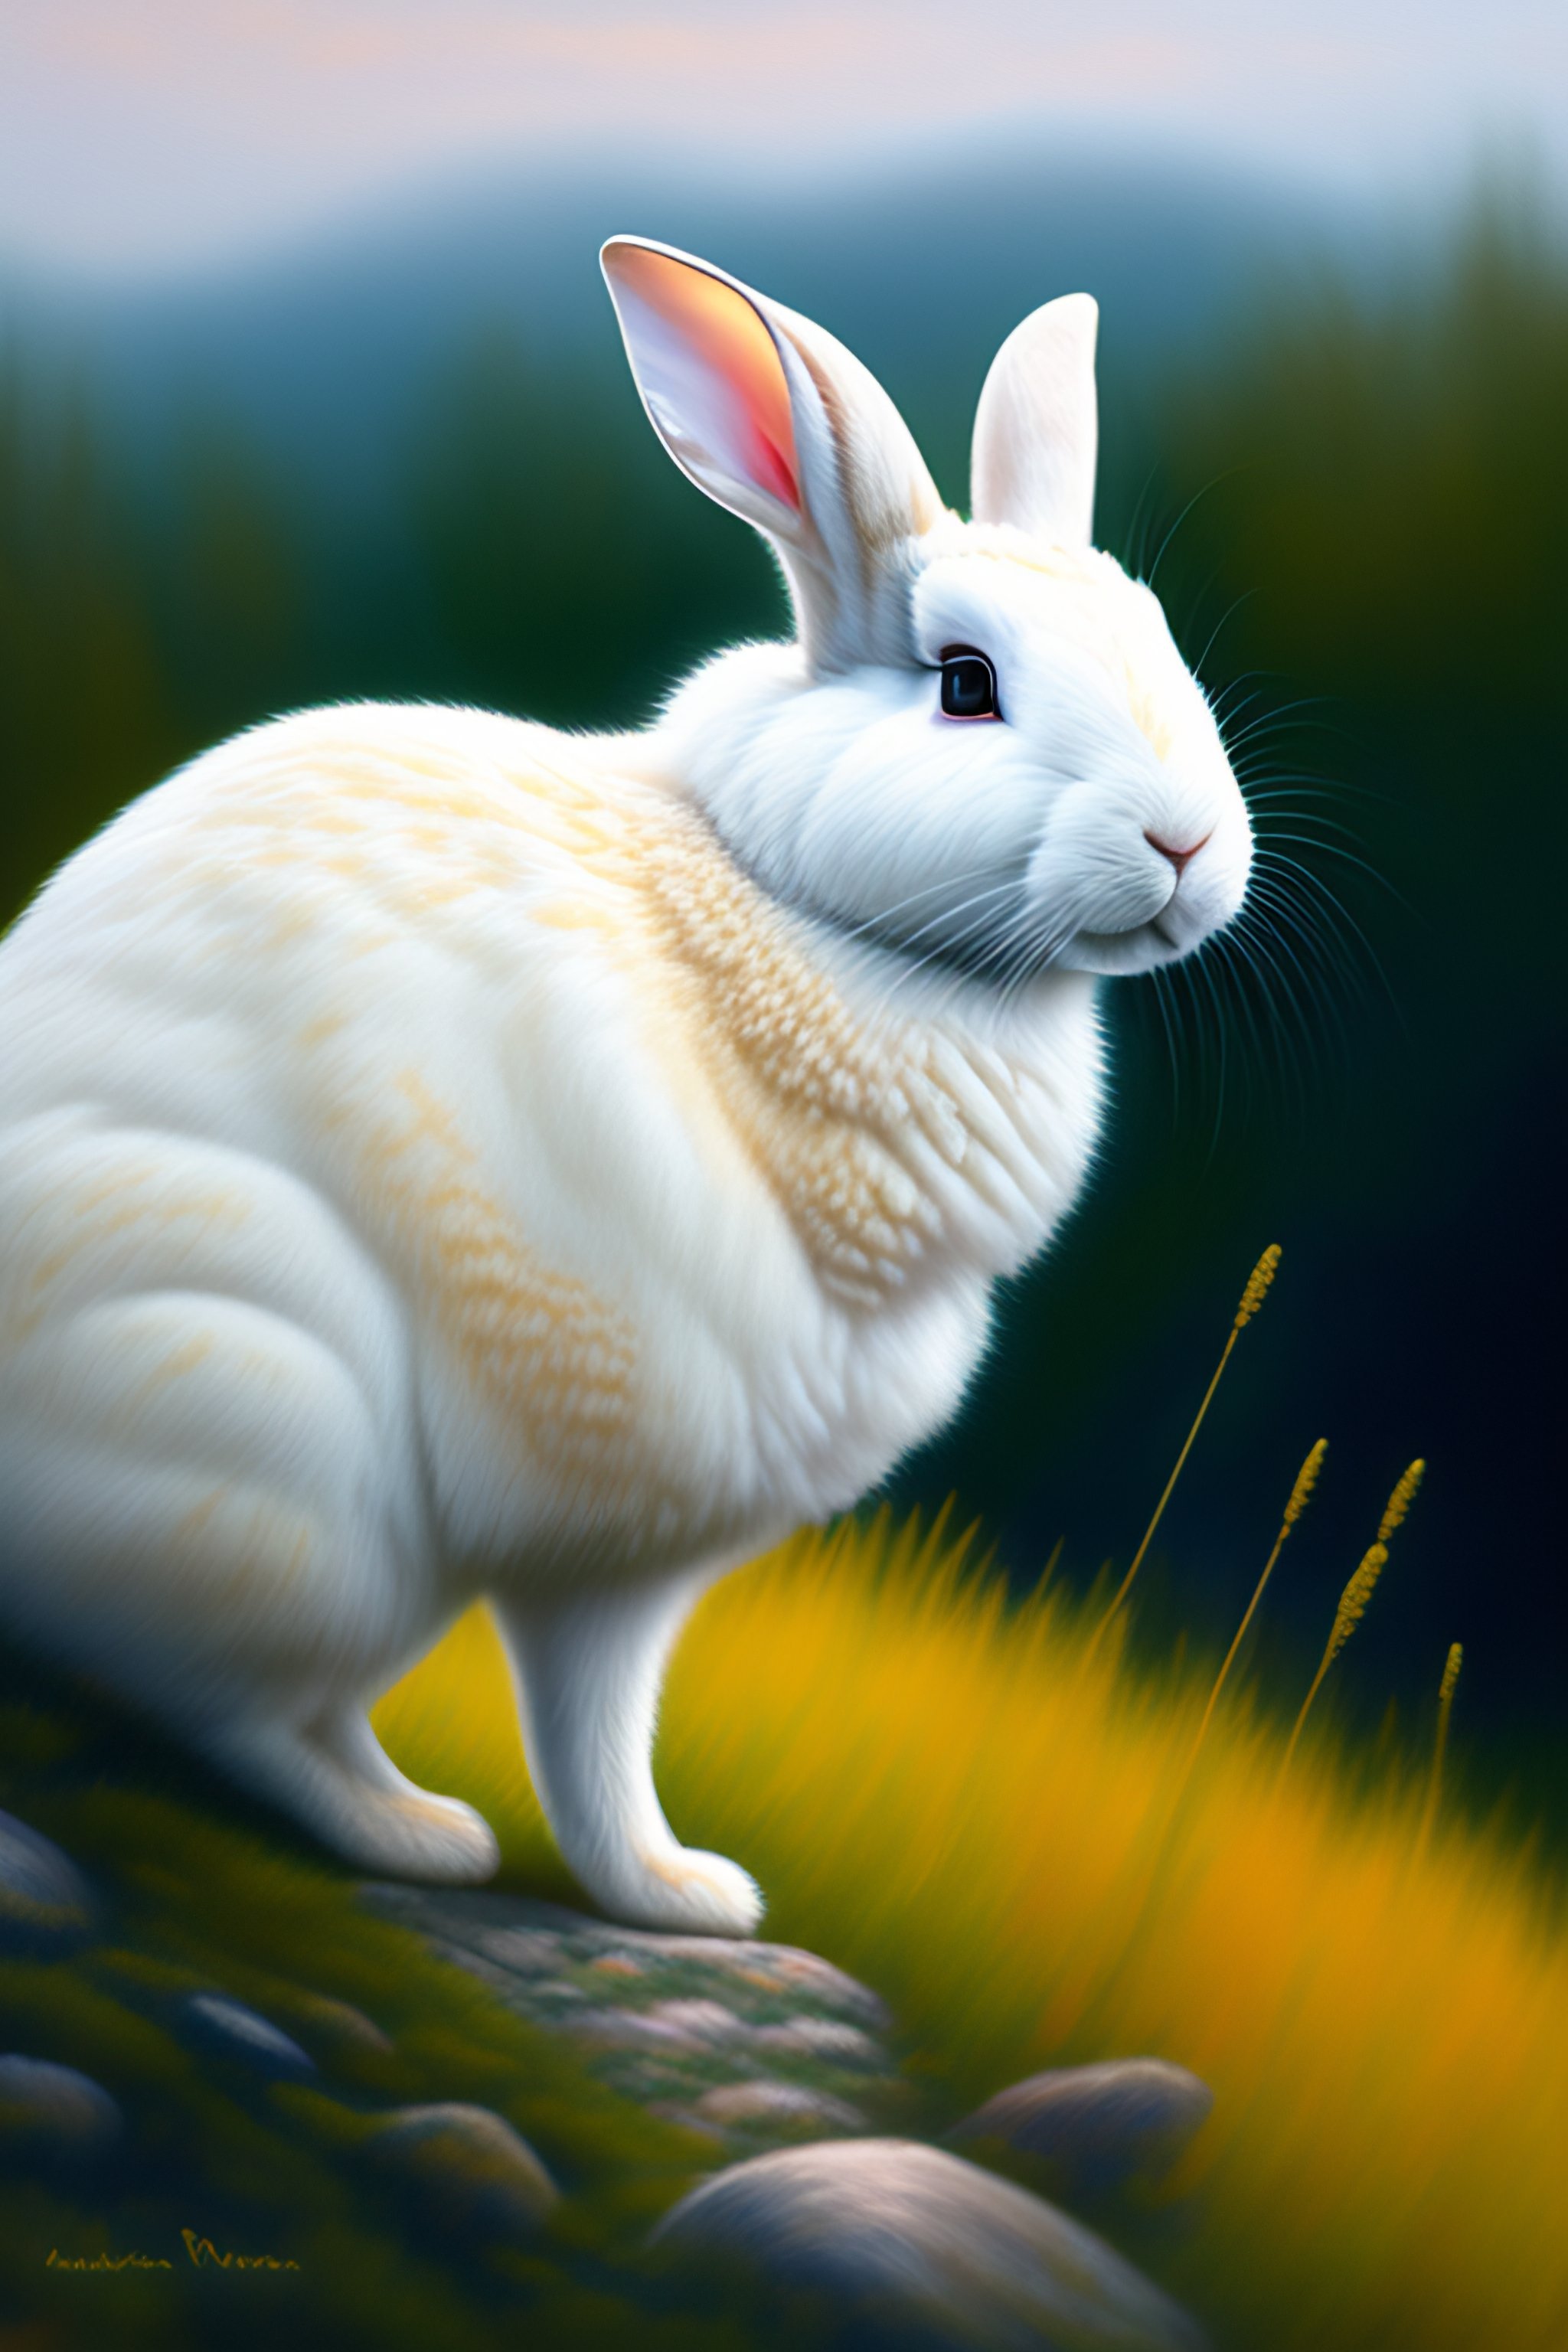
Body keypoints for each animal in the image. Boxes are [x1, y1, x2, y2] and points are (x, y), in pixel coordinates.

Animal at [0, 237, 1251, 1936]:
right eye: (965, 683)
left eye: (1161, 636)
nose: (1186, 841)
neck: (787, 901)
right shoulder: (609, 1534)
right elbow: (592, 1725)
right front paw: (688, 1899)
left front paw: (677, 1889)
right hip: (263, 1440)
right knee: (231, 1702)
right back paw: (410, 1835)